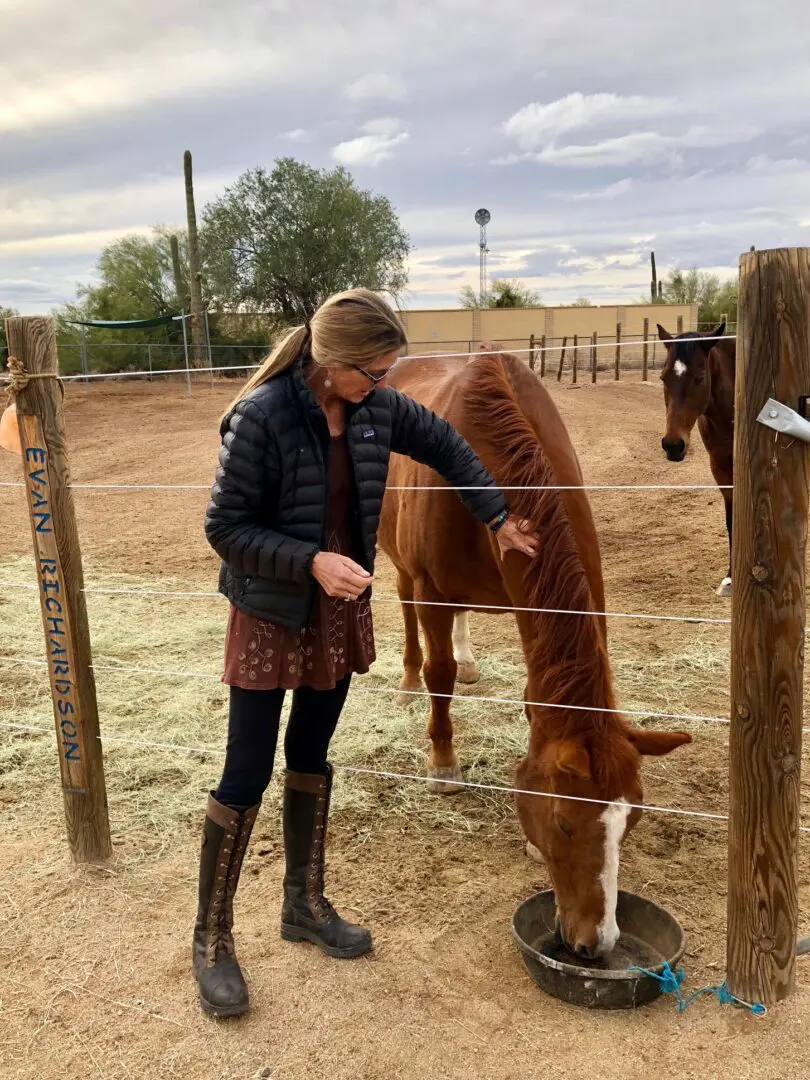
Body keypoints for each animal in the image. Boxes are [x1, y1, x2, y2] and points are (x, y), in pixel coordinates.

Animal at [380, 349, 691, 959]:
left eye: (633, 821)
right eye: (566, 823)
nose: (597, 942)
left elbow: (531, 697)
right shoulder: (431, 588)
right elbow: (438, 674)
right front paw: (443, 762)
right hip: (406, 573)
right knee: (407, 614)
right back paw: (406, 682)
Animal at [656, 319, 738, 600]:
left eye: (700, 378)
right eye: (663, 377)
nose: (673, 445)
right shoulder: (721, 469)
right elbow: (731, 520)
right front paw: (730, 579)